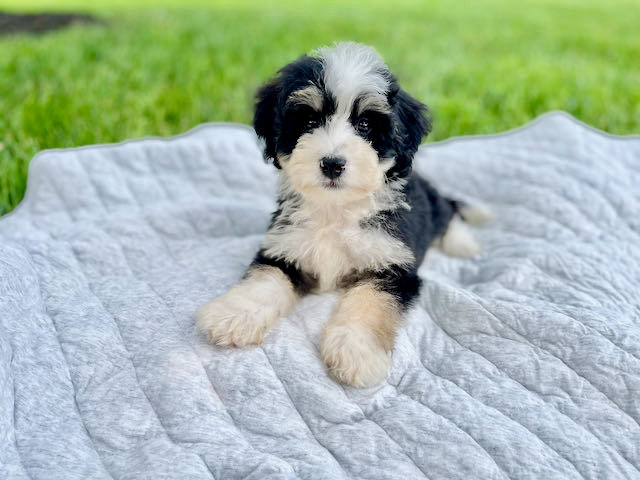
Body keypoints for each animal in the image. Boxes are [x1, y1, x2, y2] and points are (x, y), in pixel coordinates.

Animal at [198, 40, 488, 386]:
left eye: (364, 125)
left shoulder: (392, 266)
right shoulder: (285, 249)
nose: (332, 163)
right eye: (309, 122)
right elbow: (264, 281)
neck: (336, 210)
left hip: (431, 202)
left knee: (448, 209)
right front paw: (232, 315)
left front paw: (356, 351)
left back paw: (462, 242)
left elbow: (370, 302)